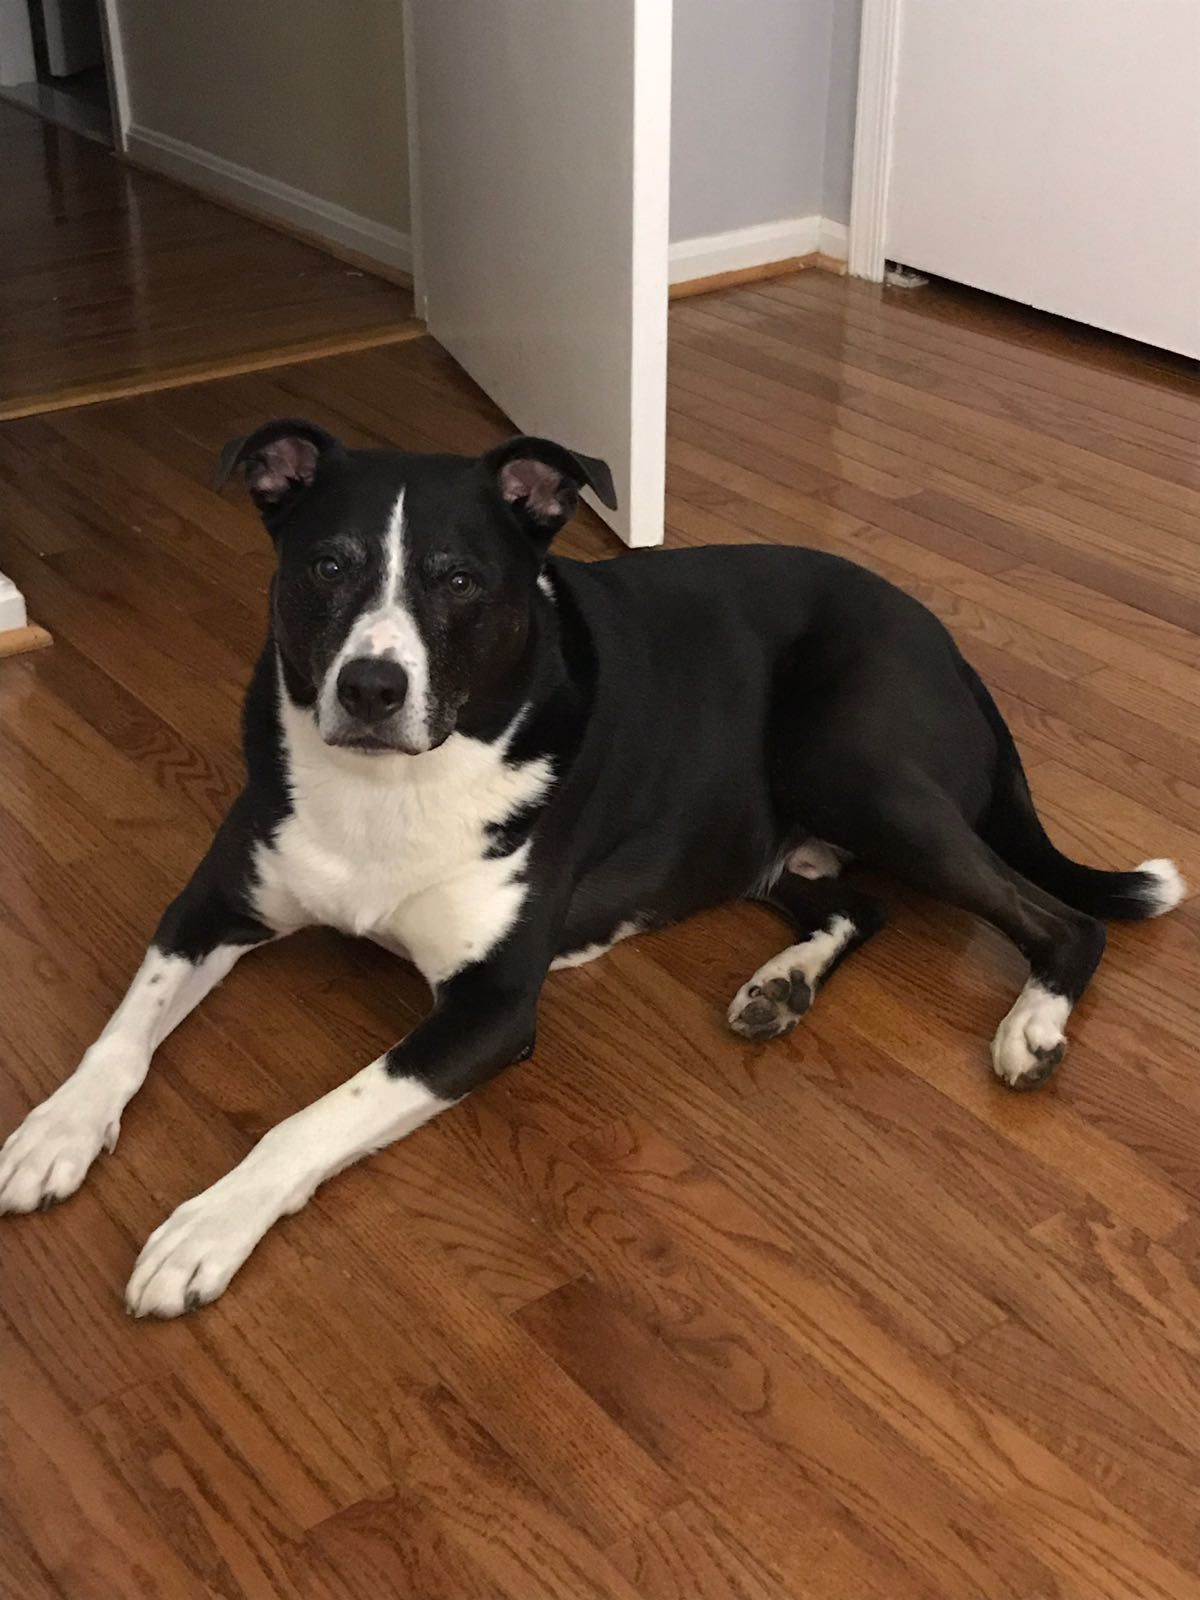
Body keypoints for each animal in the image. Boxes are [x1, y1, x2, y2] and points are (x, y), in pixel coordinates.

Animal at [0, 421, 1184, 1316]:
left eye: (461, 580)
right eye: (326, 566)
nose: (373, 688)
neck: (391, 787)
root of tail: (949, 642)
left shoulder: (487, 1011)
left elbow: (317, 1113)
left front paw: (209, 1222)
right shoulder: (213, 902)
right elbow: (124, 1031)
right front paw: (55, 1131)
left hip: (849, 762)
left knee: (1064, 921)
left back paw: (1030, 1026)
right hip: (768, 835)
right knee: (860, 905)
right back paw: (780, 984)